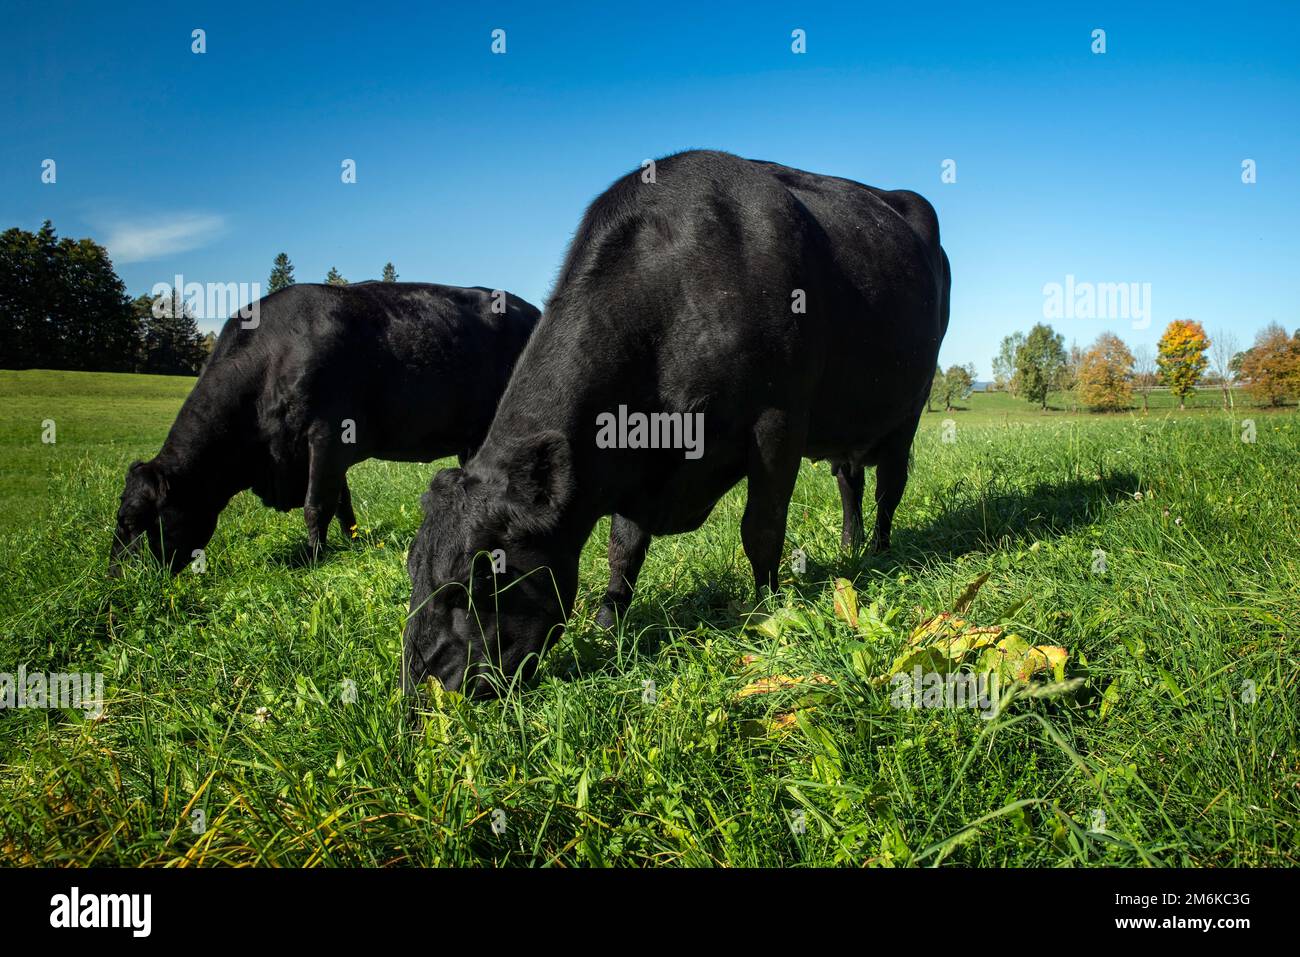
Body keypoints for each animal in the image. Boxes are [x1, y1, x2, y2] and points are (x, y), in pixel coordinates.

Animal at [109, 280, 540, 572]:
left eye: (130, 521)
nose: (118, 580)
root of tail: (531, 309)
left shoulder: (327, 436)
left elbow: (316, 504)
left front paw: (315, 556)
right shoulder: (325, 451)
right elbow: (342, 502)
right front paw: (353, 540)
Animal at [400, 153, 951, 696]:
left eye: (479, 581)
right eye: (413, 572)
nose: (423, 689)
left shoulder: (778, 420)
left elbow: (761, 528)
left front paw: (766, 611)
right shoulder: (634, 455)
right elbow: (623, 551)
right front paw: (607, 629)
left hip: (909, 409)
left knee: (889, 487)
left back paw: (878, 552)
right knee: (849, 482)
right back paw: (850, 547)